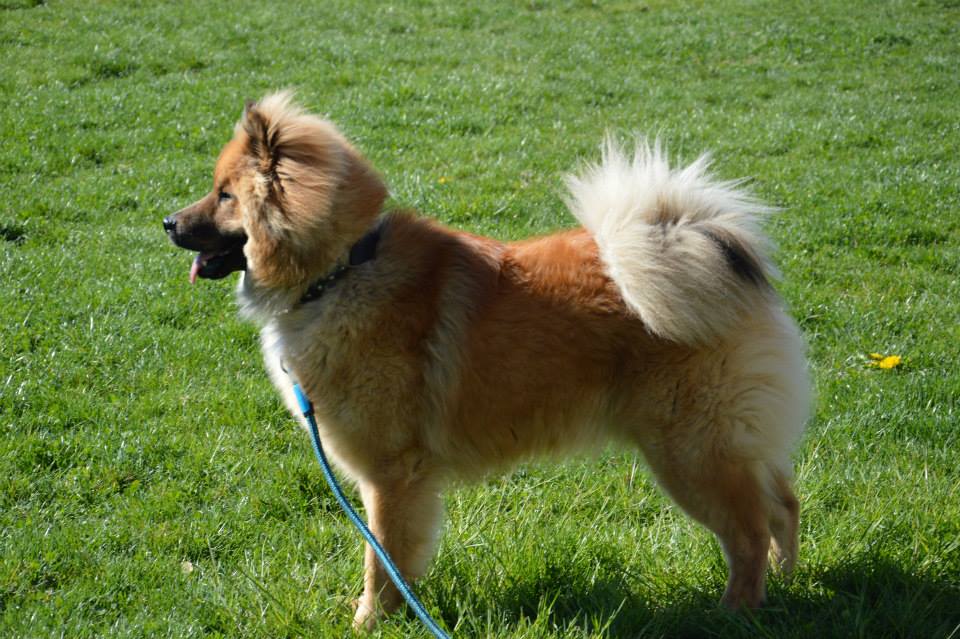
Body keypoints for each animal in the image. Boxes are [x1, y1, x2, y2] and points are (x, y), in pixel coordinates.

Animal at [164, 92, 810, 629]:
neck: (343, 269)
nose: (168, 222)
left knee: (749, 529)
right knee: (782, 504)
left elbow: (382, 557)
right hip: (724, 444)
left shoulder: (391, 476)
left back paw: (737, 609)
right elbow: (395, 558)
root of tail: (714, 254)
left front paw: (369, 621)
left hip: (689, 452)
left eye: (225, 195)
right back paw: (785, 588)